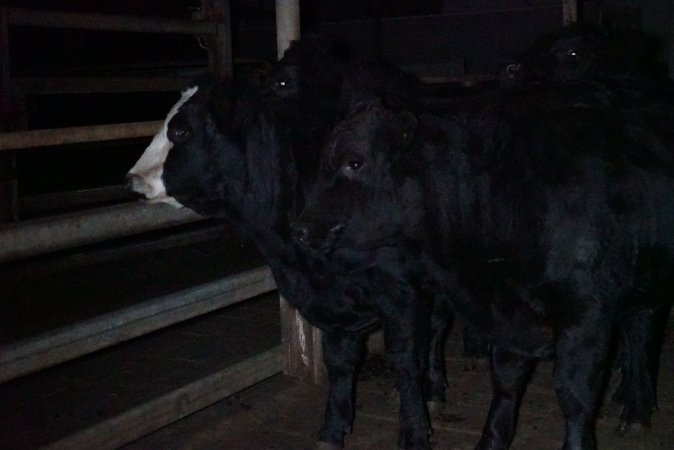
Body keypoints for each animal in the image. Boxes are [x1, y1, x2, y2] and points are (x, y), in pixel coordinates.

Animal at [126, 38, 452, 450]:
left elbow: (404, 360)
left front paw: (414, 431)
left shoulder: (401, 293)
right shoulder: (330, 299)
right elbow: (339, 361)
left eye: (181, 131)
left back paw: (435, 388)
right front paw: (332, 429)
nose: (133, 178)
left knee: (438, 326)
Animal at [298, 99, 672, 450]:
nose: (301, 229)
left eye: (355, 162)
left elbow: (574, 392)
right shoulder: (507, 313)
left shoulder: (584, 314)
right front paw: (491, 439)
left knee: (643, 337)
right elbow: (505, 380)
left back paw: (635, 411)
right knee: (641, 331)